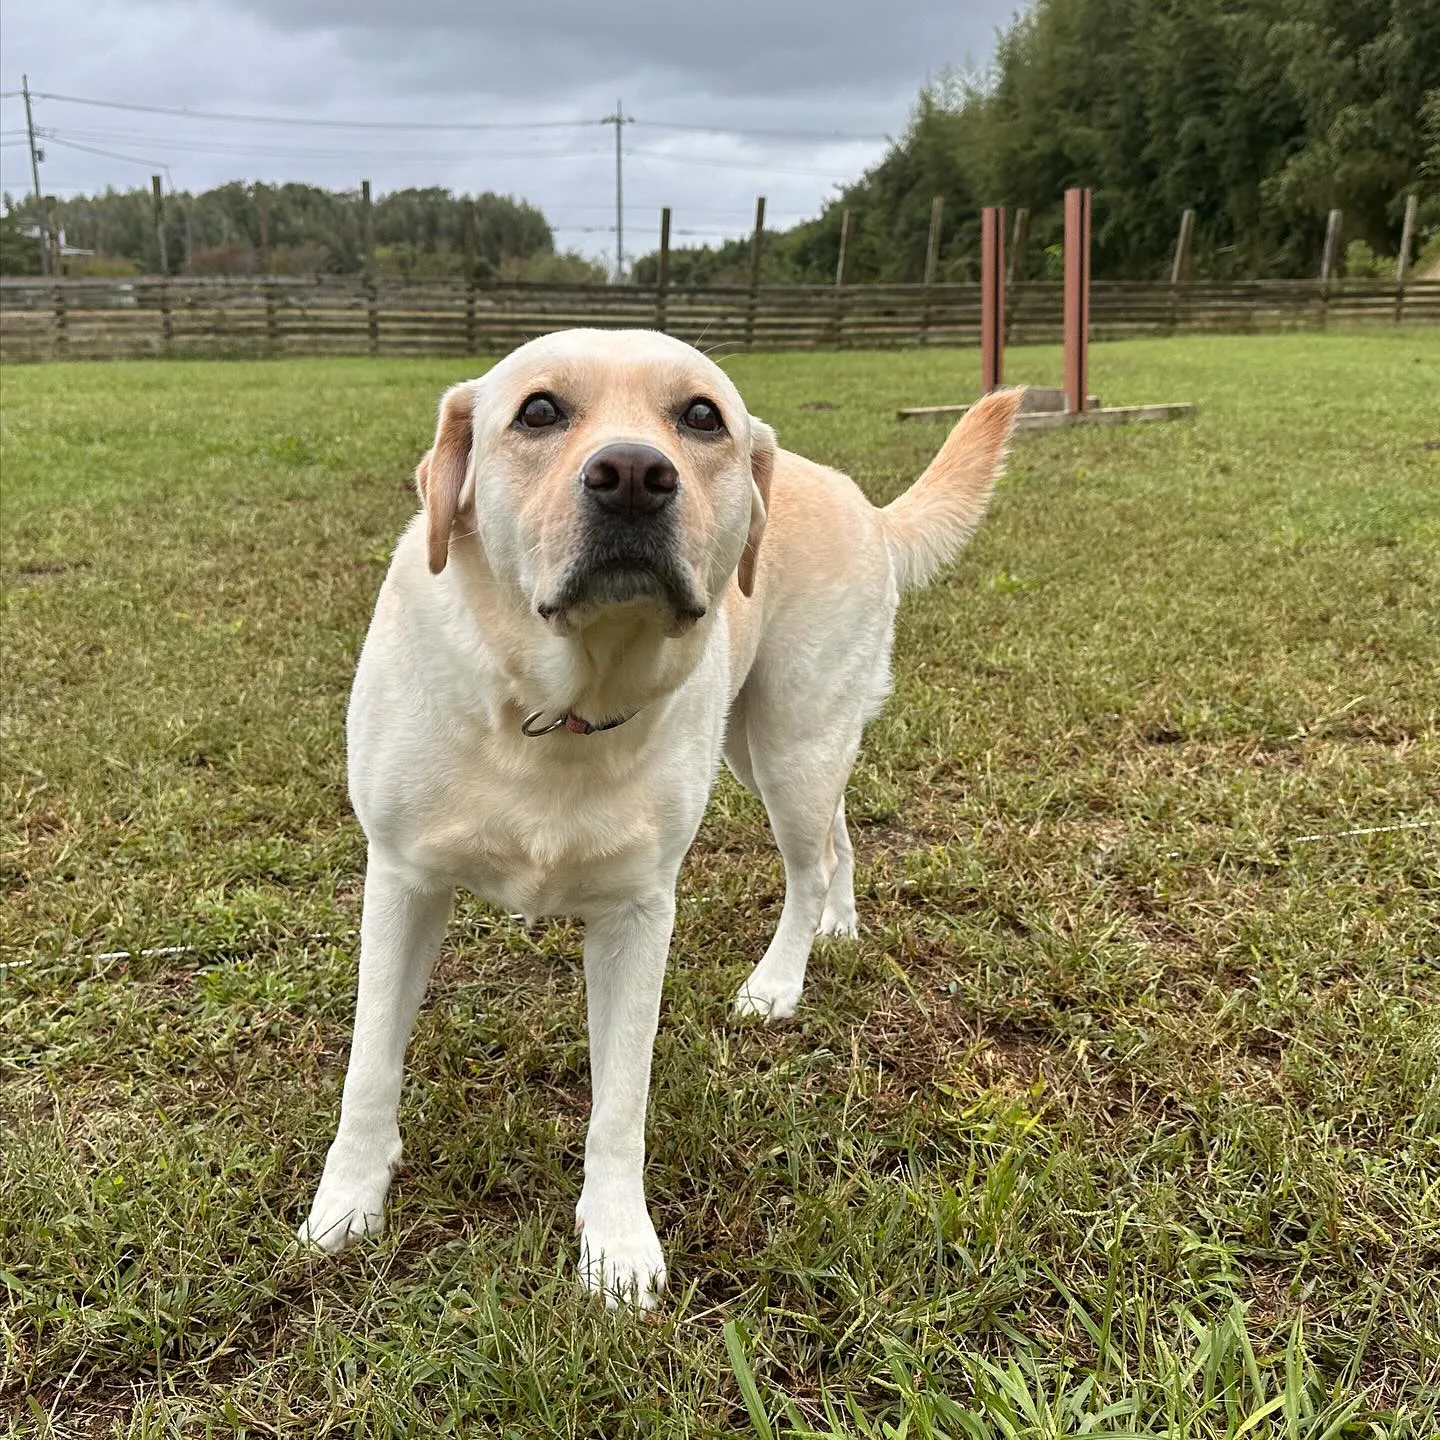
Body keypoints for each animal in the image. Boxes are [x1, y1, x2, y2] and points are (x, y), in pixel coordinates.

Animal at [298, 326, 1019, 1307]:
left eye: (701, 417)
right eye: (538, 410)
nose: (635, 474)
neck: (556, 707)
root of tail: (862, 502)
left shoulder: (640, 913)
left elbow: (620, 1103)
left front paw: (617, 1245)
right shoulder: (403, 878)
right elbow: (370, 1062)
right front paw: (347, 1203)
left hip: (791, 743)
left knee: (808, 863)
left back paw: (780, 979)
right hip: (768, 748)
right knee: (839, 836)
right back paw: (839, 925)